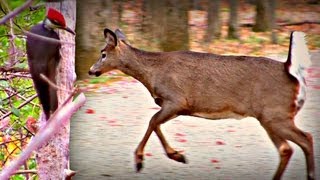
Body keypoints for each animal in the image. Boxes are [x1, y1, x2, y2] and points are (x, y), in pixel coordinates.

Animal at [89, 28, 314, 179]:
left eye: (103, 53)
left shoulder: (177, 99)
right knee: (286, 149)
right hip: (268, 117)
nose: (91, 70)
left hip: (276, 114)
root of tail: (291, 70)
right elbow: (156, 123)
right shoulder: (177, 107)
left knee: (306, 138)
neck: (152, 74)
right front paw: (176, 155)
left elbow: (152, 121)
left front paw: (141, 160)